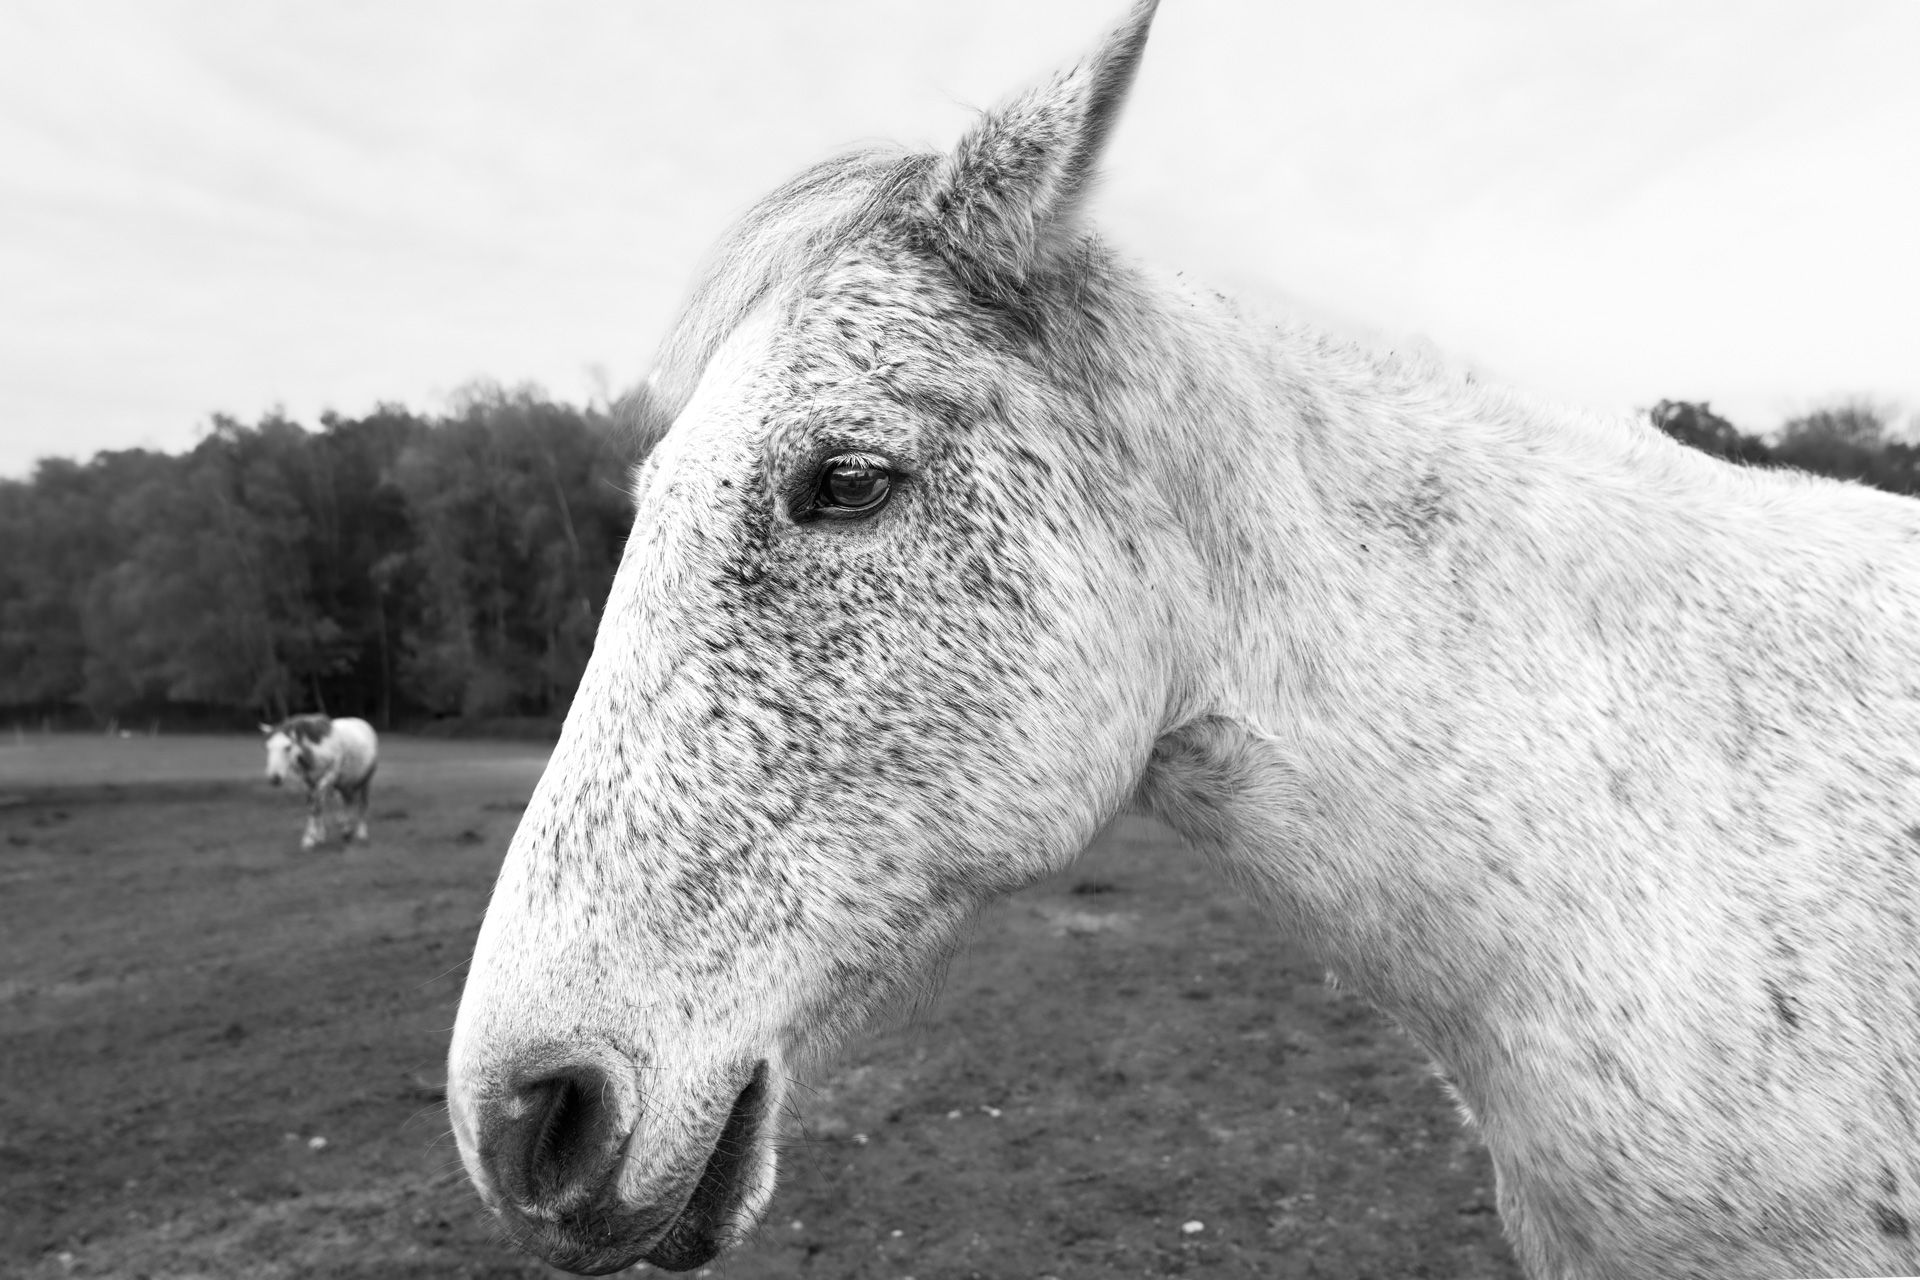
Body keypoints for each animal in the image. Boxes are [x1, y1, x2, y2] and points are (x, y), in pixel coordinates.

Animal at [260, 714, 378, 851]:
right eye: (268, 747)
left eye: (287, 747)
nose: (274, 778)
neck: (317, 751)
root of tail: (362, 722)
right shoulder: (307, 781)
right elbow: (313, 806)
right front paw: (313, 838)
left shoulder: (329, 776)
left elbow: (317, 804)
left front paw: (314, 836)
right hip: (344, 783)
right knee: (347, 801)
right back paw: (345, 828)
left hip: (366, 780)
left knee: (362, 803)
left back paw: (360, 832)